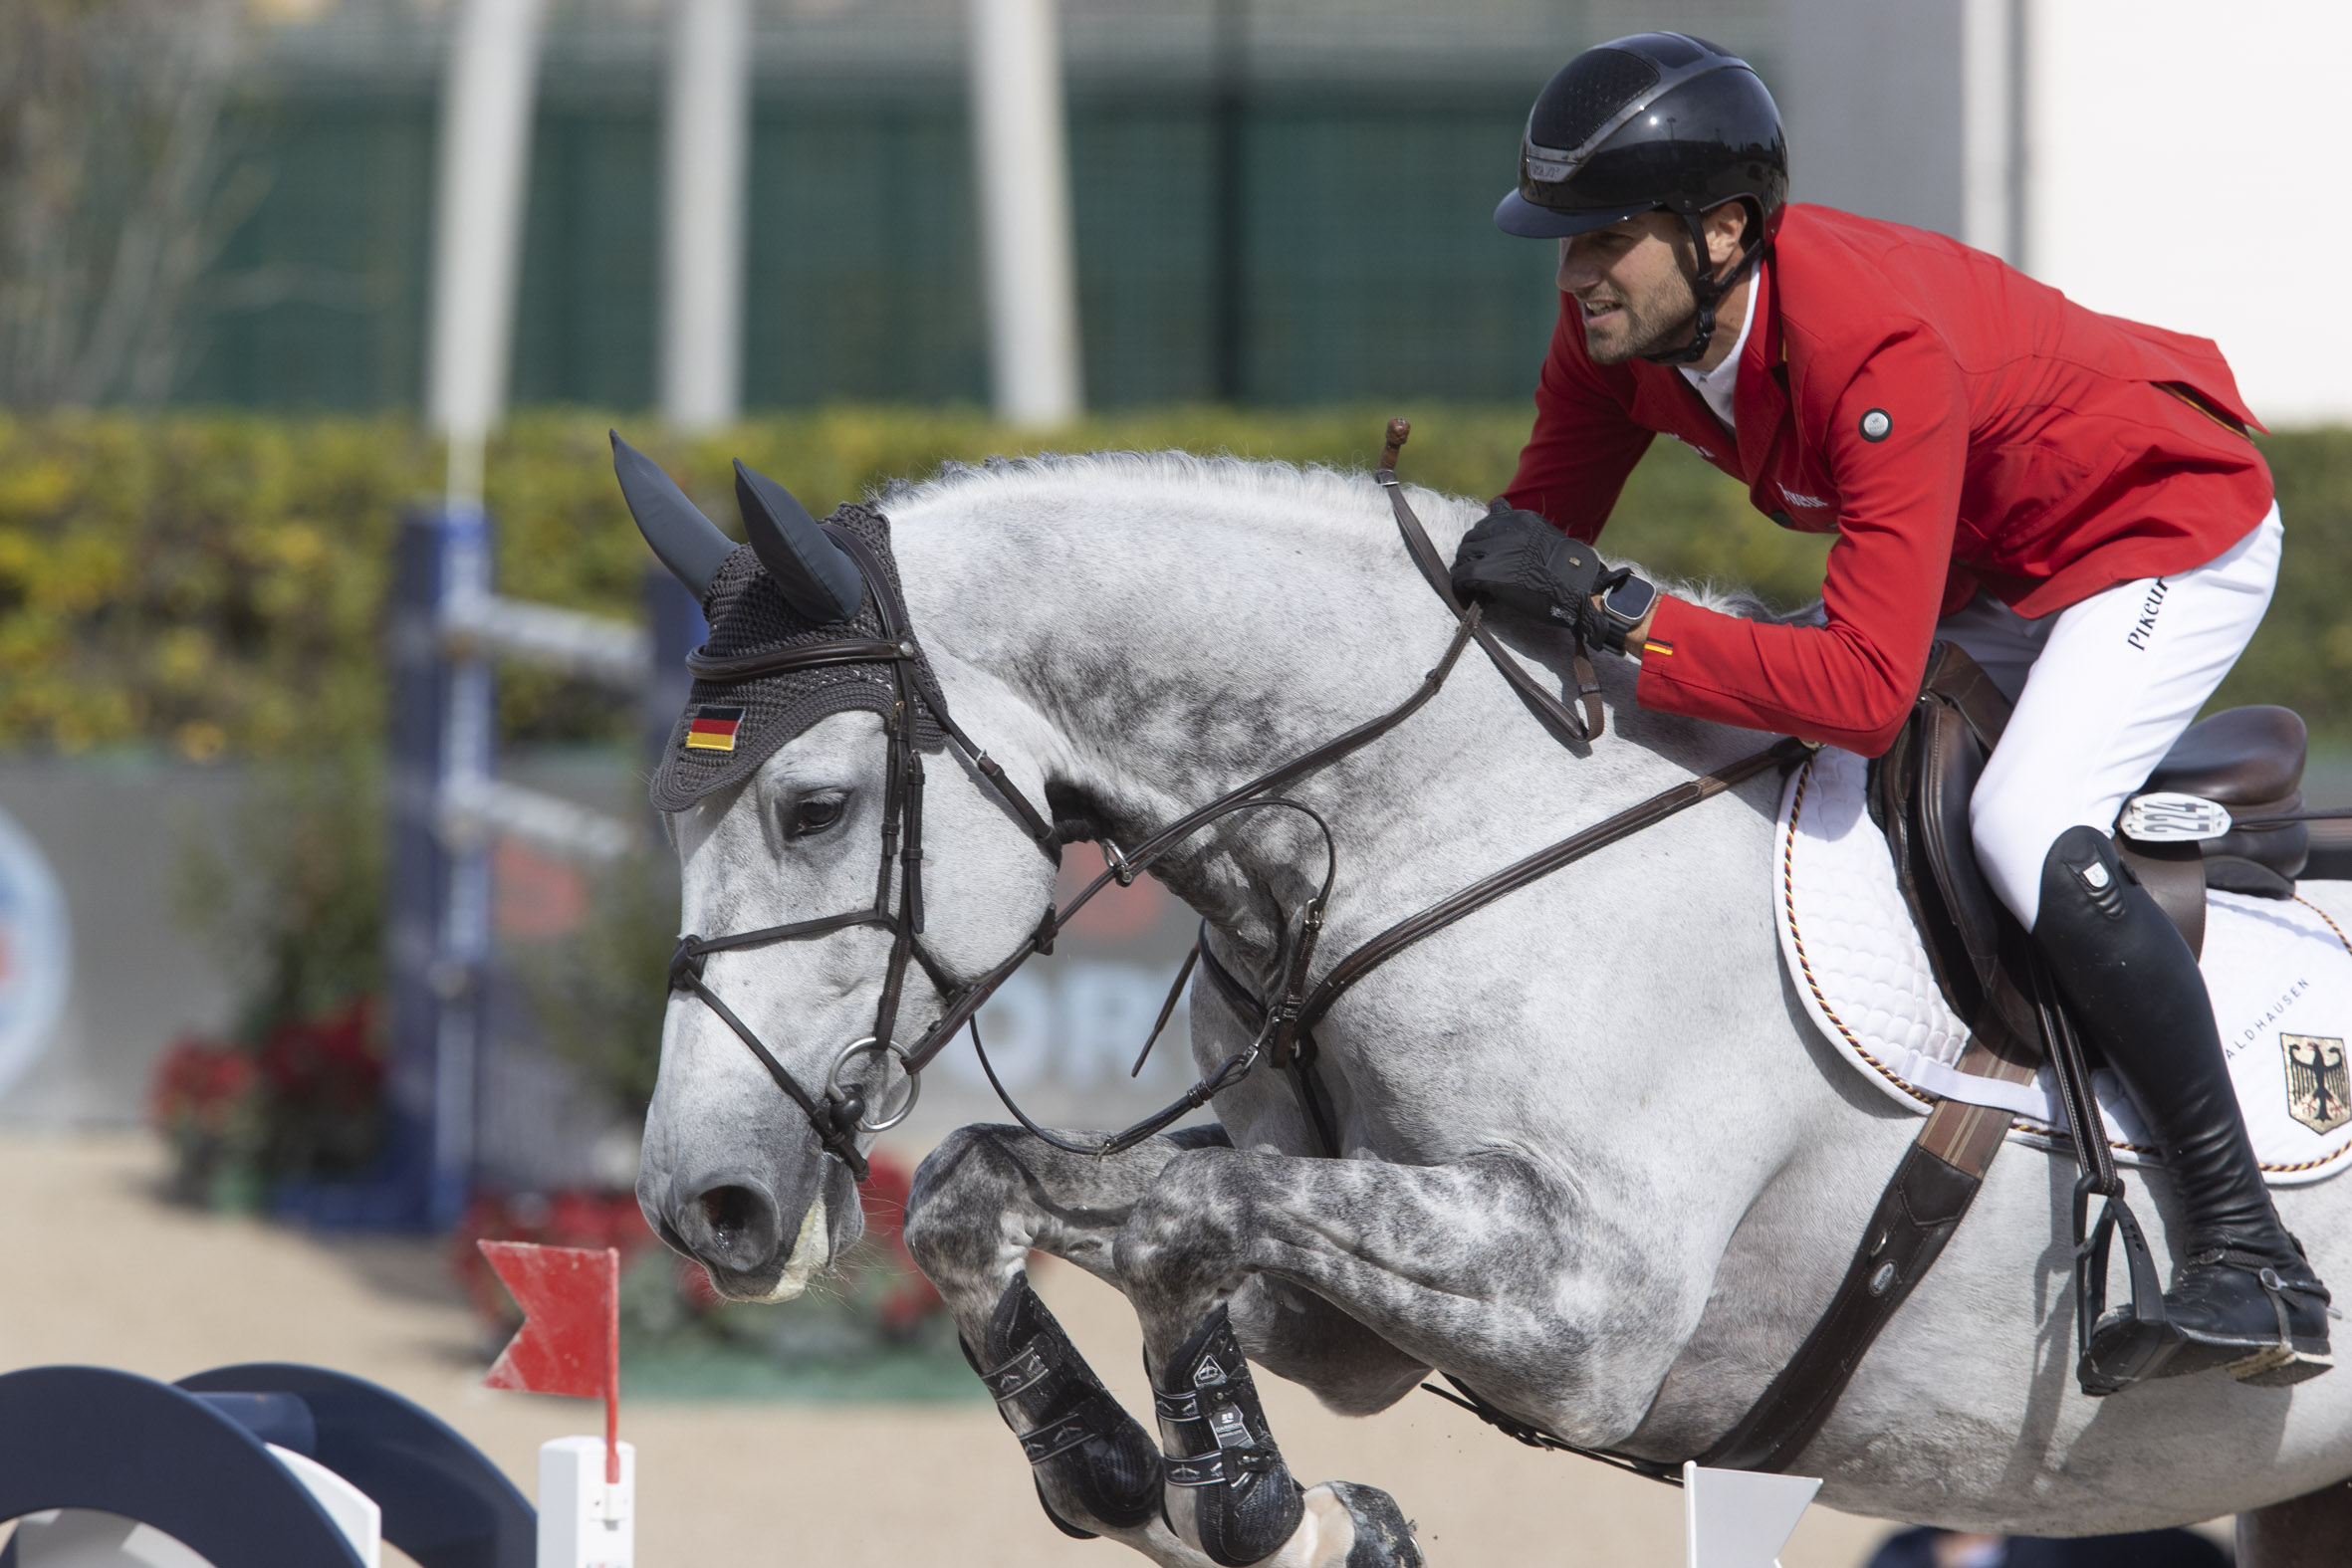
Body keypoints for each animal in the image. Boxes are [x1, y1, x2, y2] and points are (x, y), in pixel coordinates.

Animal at [634, 451, 2352, 1560]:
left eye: (812, 806)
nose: (704, 1202)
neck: (1437, 813)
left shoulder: (1586, 1303)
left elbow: (1181, 1210)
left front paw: (1240, 1493)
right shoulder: (1361, 1304)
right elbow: (1010, 1183)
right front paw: (1140, 1464)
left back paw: (2239, 1296)